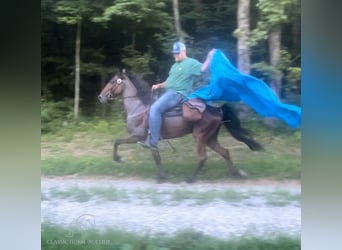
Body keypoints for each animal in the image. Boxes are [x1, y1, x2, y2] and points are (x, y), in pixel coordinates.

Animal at [97, 70, 264, 182]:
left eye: (113, 81)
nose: (100, 96)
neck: (138, 108)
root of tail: (218, 109)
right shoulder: (148, 140)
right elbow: (156, 157)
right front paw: (161, 175)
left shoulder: (137, 136)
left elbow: (117, 142)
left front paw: (118, 158)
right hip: (210, 138)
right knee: (225, 152)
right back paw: (236, 173)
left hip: (200, 136)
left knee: (203, 157)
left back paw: (191, 178)